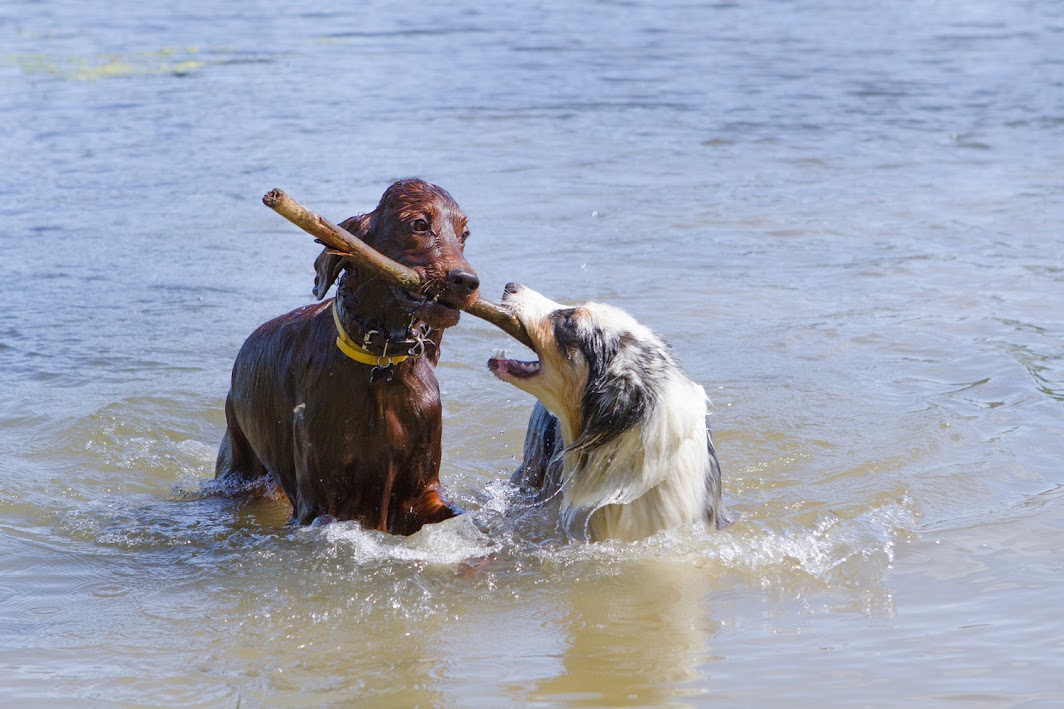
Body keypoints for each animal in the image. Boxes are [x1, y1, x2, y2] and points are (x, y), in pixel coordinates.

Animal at [213, 177, 480, 530]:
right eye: (420, 224)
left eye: (464, 233)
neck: (383, 366)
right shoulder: (320, 502)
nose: (466, 281)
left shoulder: (420, 489)